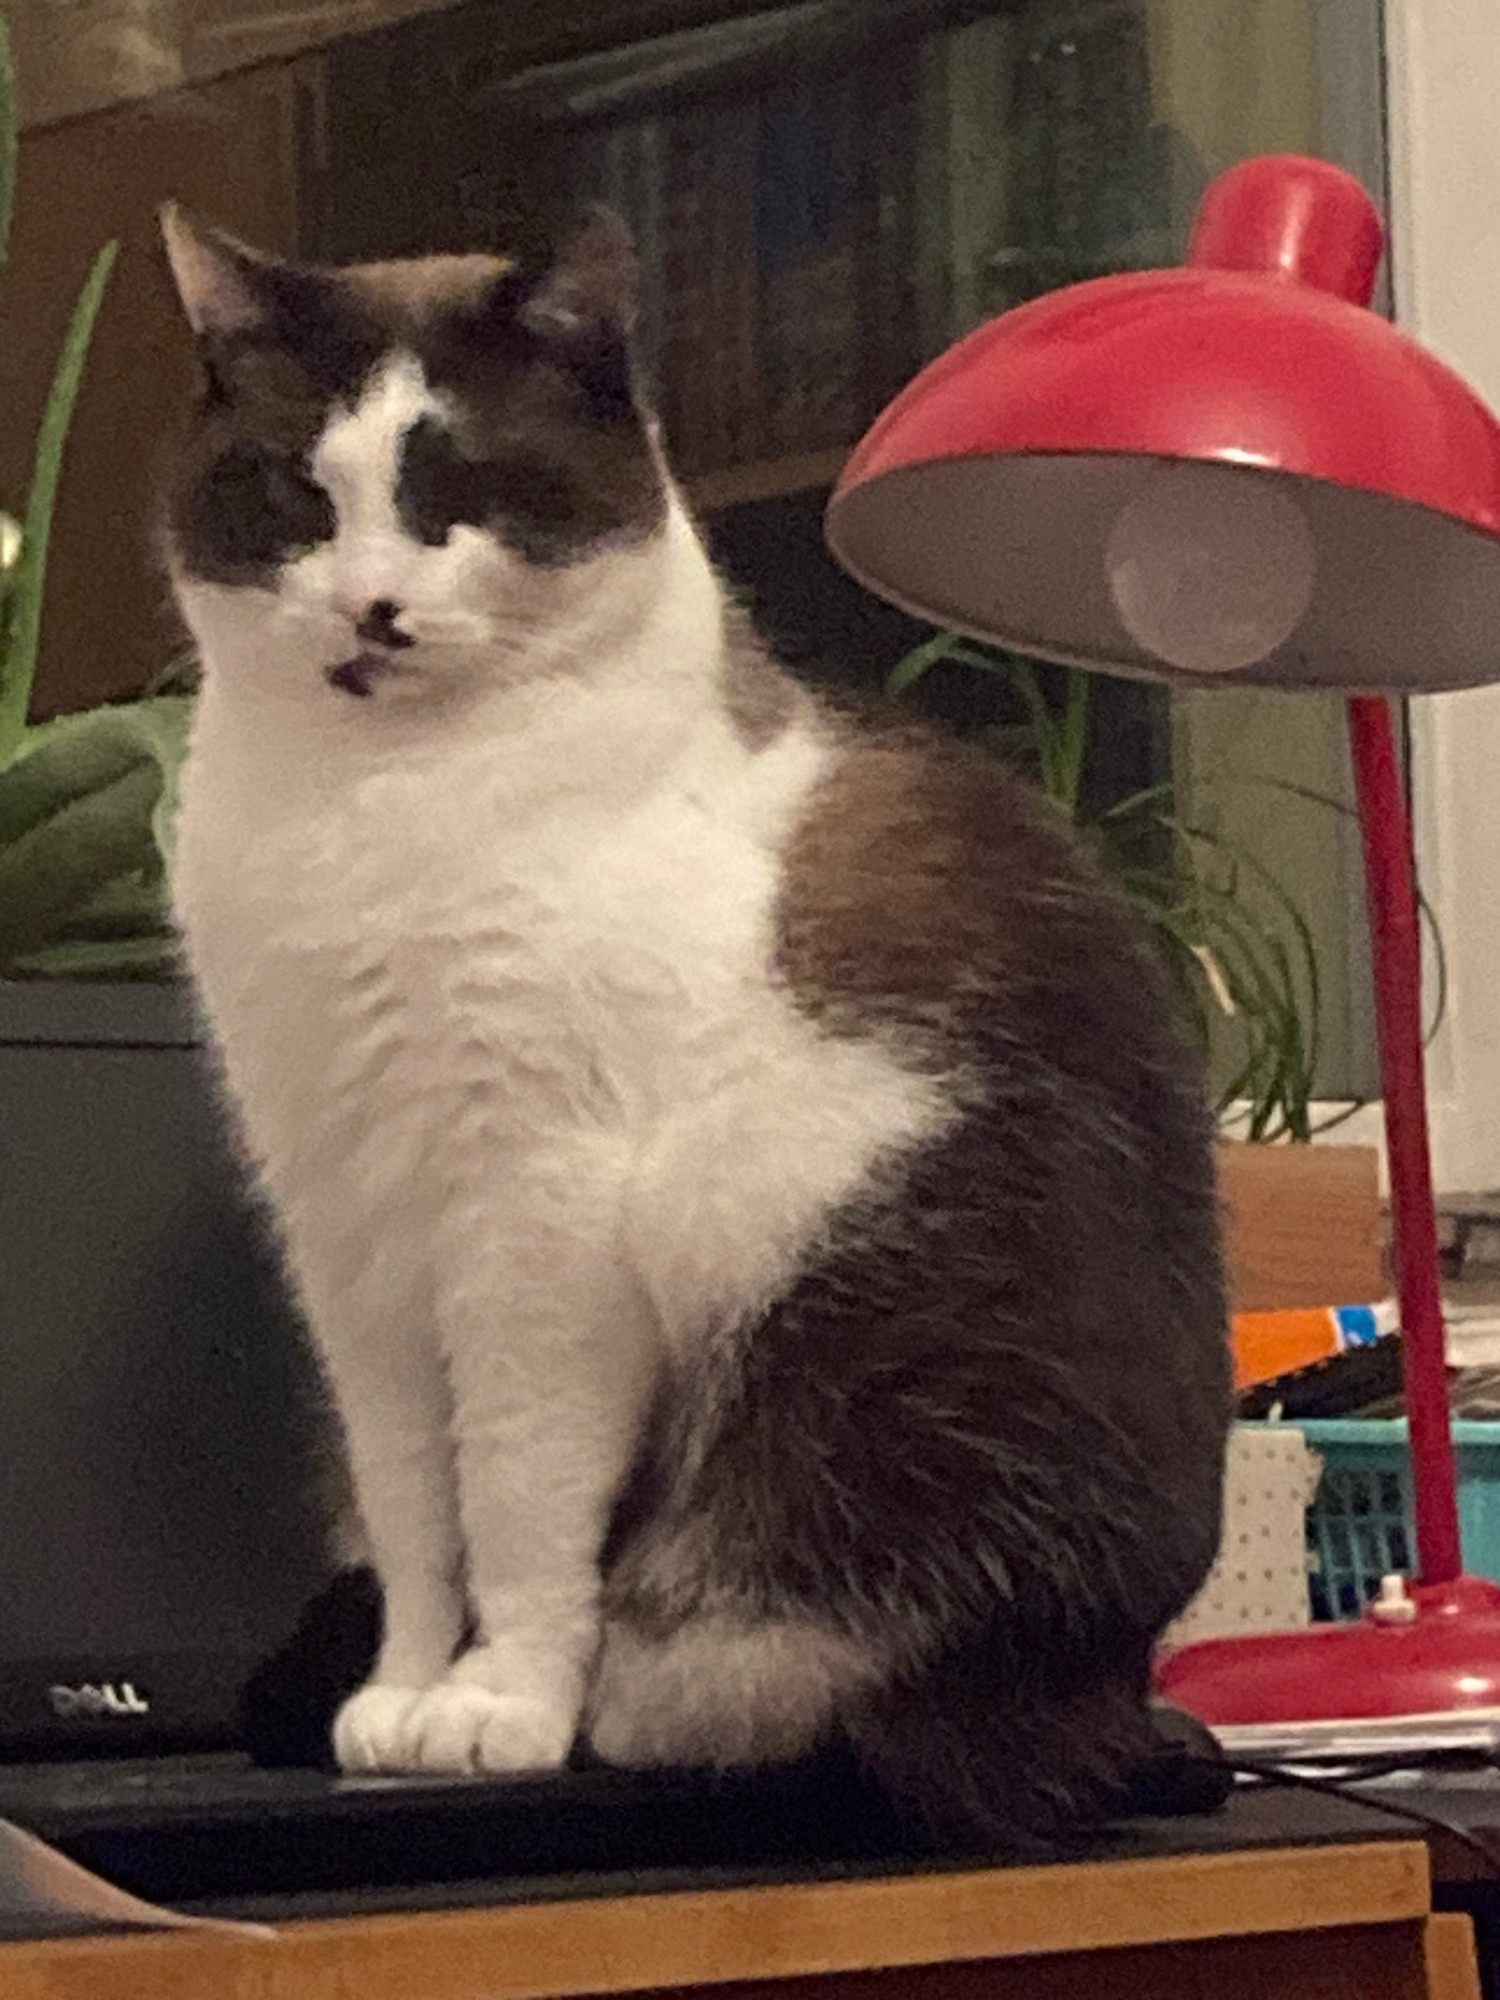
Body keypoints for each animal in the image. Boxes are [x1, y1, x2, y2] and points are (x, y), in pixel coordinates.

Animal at [159, 207, 1240, 1856]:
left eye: (461, 489)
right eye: (297, 490)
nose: (369, 609)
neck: (367, 804)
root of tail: (1117, 1706)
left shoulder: (536, 1217)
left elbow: (518, 1501)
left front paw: (500, 1707)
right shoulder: (344, 1227)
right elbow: (414, 1510)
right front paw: (402, 1696)